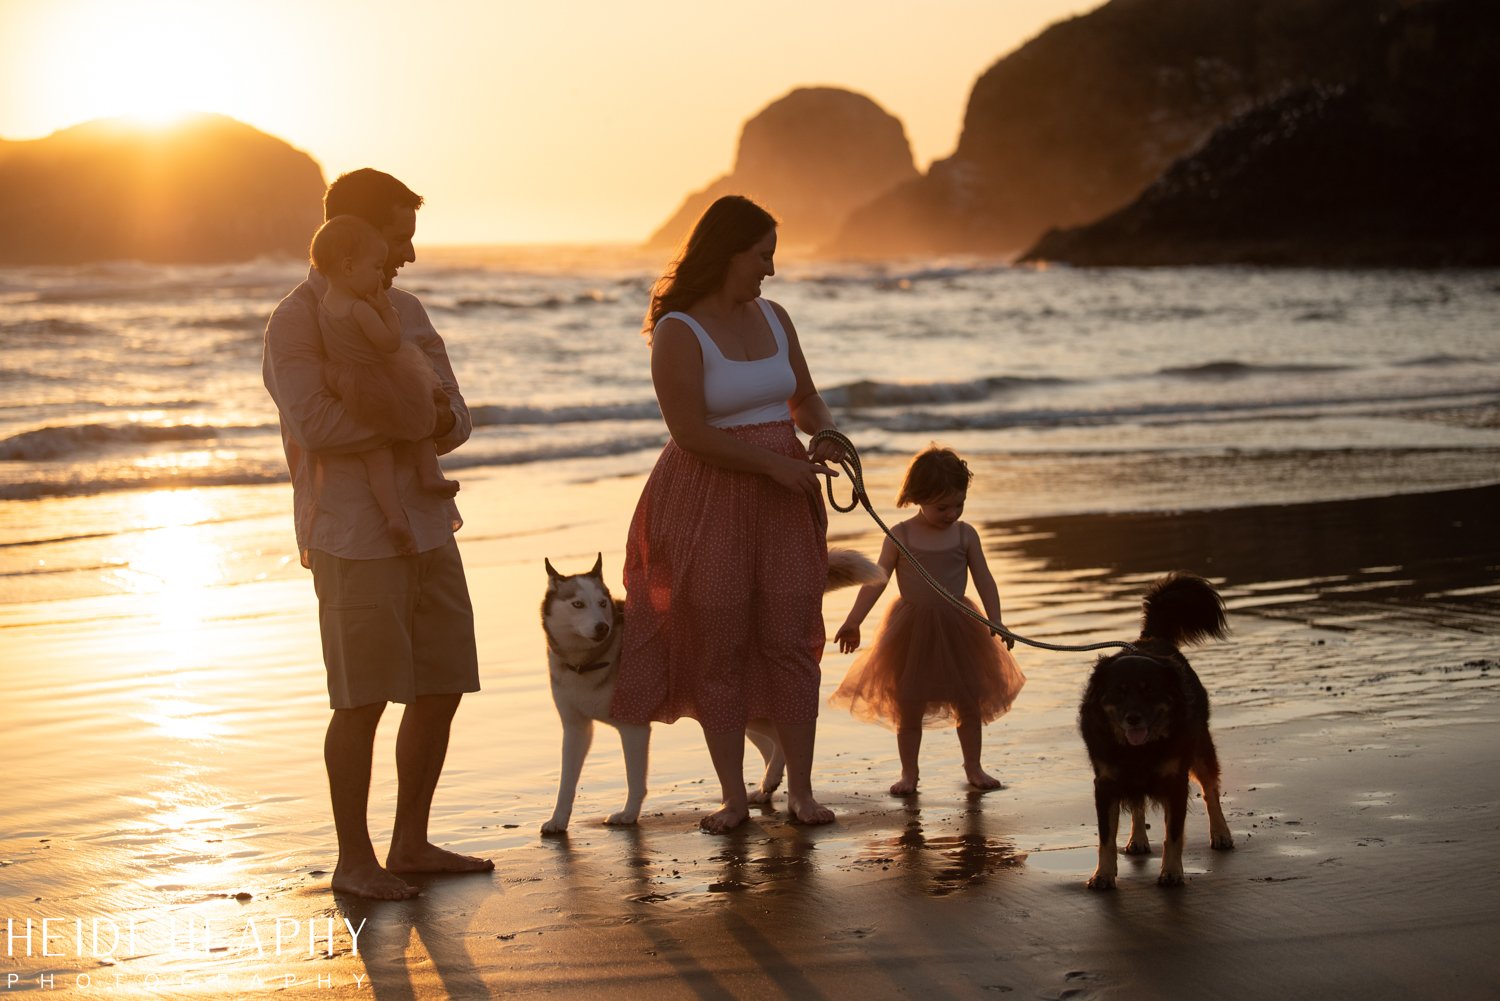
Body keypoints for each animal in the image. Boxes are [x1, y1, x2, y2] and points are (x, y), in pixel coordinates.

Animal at [543, 552, 882, 834]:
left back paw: (771, 782)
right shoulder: (575, 729)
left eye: (602, 603)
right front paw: (558, 820)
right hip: (735, 708)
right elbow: (565, 782)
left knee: (782, 737)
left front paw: (628, 814)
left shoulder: (633, 726)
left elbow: (634, 779)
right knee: (773, 742)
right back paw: (765, 787)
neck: (587, 663)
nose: (602, 627)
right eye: (577, 604)